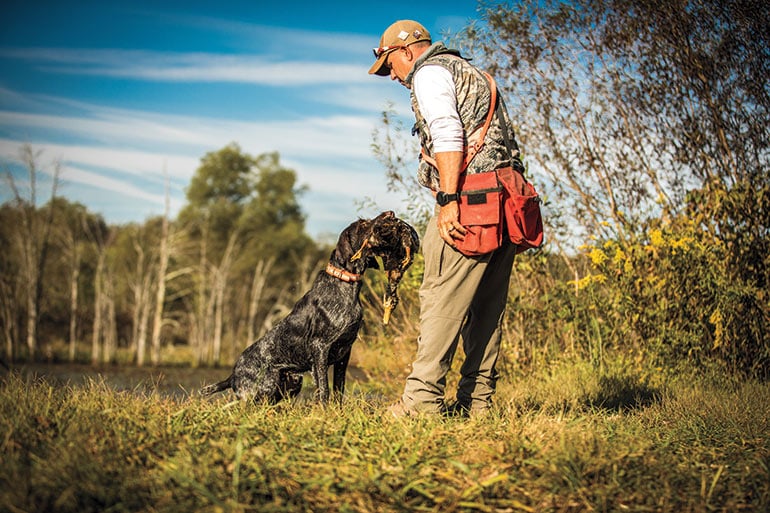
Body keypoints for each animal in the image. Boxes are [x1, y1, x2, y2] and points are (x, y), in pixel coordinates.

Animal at [196, 210, 414, 402]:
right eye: (363, 224)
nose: (391, 214)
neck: (345, 286)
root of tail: (232, 376)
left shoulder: (344, 352)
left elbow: (339, 389)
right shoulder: (320, 349)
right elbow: (324, 389)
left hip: (291, 383)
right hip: (266, 387)